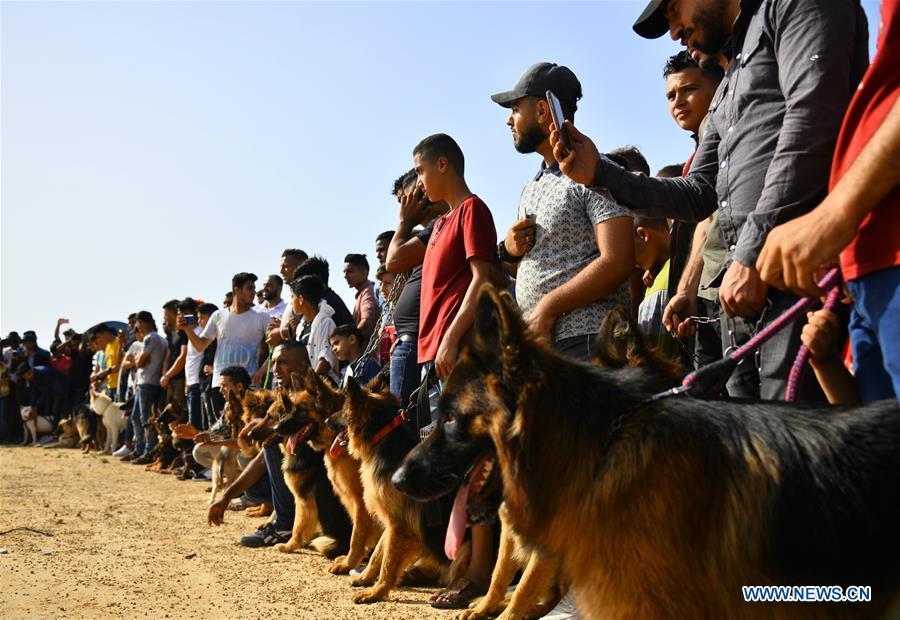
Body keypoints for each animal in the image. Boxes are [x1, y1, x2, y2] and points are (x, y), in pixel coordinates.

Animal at [332, 378, 472, 604]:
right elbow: (378, 555)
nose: (327, 419)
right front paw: (365, 578)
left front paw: (376, 592)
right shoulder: (391, 523)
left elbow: (388, 563)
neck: (383, 439)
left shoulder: (400, 527)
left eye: (343, 412)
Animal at [406, 288, 900, 620]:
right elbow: (503, 571)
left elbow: (525, 580)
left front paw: (511, 608)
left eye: (451, 418)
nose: (397, 477)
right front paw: (490, 603)